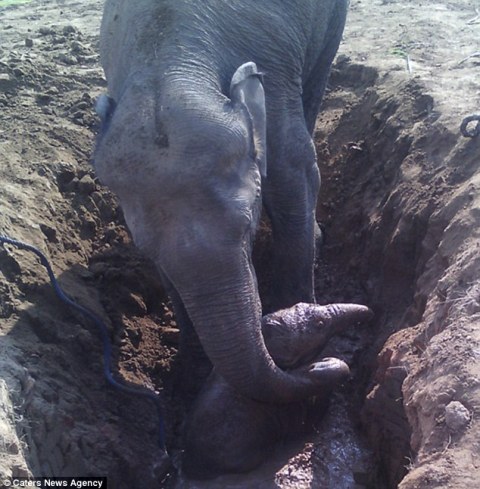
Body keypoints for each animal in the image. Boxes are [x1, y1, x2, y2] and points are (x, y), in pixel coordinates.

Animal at [94, 0, 360, 402]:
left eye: (247, 225)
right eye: (145, 249)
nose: (330, 367)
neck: (169, 63)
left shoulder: (274, 77)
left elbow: (294, 173)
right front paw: (187, 379)